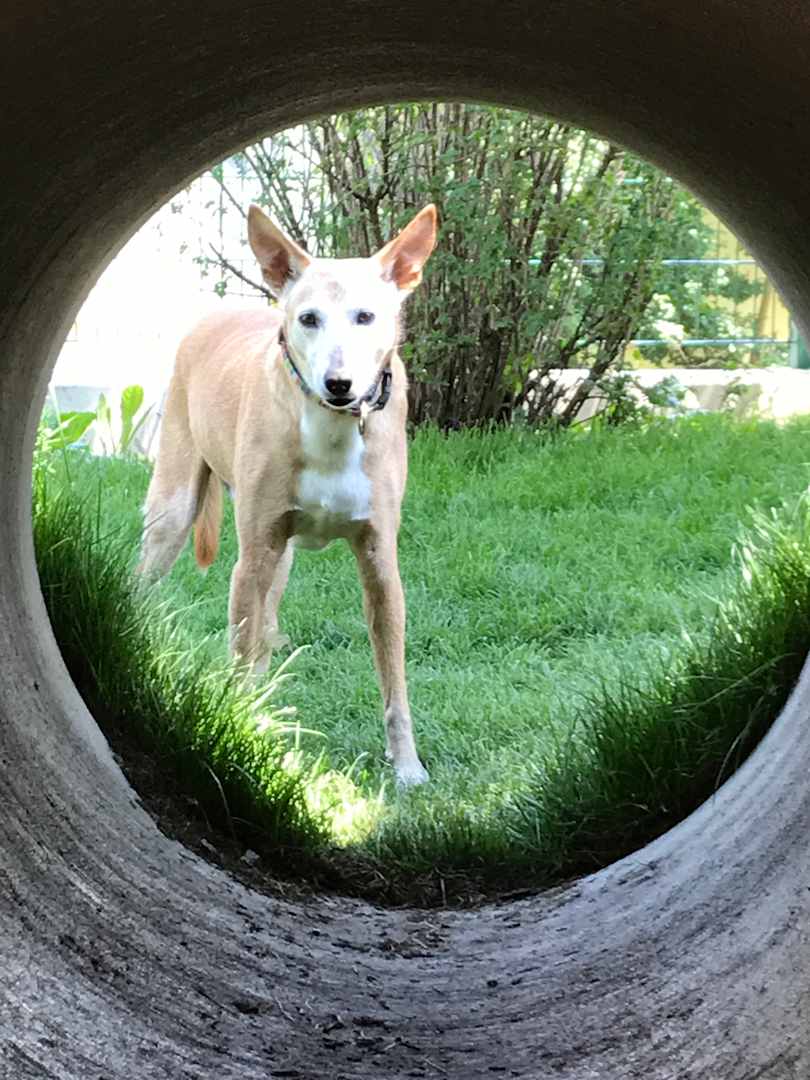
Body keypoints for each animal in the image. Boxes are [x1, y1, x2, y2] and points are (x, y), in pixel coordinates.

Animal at [139, 203, 437, 786]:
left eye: (366, 317)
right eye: (309, 318)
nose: (339, 384)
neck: (332, 427)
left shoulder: (380, 565)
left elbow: (395, 684)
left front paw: (408, 767)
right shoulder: (251, 557)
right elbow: (238, 651)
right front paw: (229, 734)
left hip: (281, 561)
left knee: (265, 636)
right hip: (175, 512)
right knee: (152, 588)